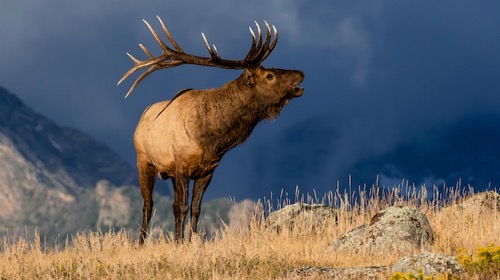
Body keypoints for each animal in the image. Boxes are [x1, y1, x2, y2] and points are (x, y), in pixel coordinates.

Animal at [117, 17, 304, 243]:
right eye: (269, 75)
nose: (301, 73)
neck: (211, 139)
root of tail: (140, 118)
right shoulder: (181, 165)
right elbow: (182, 207)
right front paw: (179, 243)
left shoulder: (207, 170)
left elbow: (195, 209)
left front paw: (190, 241)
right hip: (144, 160)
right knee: (148, 205)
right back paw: (141, 243)